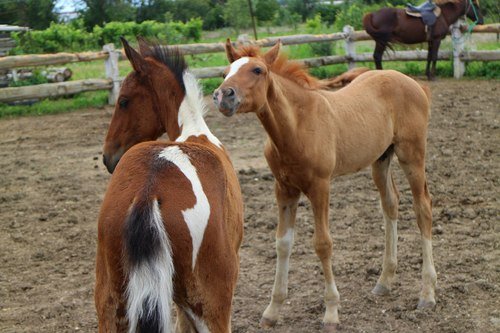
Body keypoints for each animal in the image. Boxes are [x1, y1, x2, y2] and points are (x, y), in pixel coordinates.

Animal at [95, 37, 244, 330]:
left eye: (124, 101)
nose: (108, 156)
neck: (194, 133)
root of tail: (148, 194)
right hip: (211, 306)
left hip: (111, 308)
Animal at [213, 40, 436, 330]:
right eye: (225, 72)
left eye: (258, 70)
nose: (223, 96)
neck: (296, 127)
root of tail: (415, 84)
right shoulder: (284, 189)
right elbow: (282, 243)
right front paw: (272, 311)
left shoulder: (320, 187)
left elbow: (322, 244)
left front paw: (331, 312)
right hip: (381, 159)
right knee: (391, 204)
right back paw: (384, 281)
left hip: (412, 155)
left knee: (423, 208)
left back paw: (427, 294)